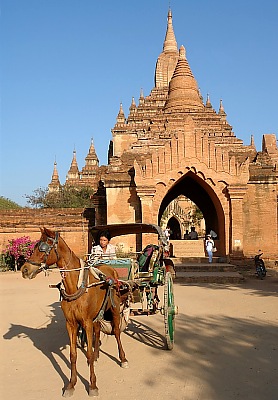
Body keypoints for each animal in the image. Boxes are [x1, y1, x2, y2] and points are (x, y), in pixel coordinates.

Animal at [21, 228, 129, 396]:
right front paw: (71, 384)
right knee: (97, 329)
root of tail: (111, 269)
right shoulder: (71, 323)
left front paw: (92, 385)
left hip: (115, 308)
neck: (75, 287)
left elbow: (88, 354)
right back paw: (97, 353)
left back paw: (122, 359)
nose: (25, 269)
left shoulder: (86, 322)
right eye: (34, 247)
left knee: (117, 332)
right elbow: (73, 354)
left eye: (43, 248)